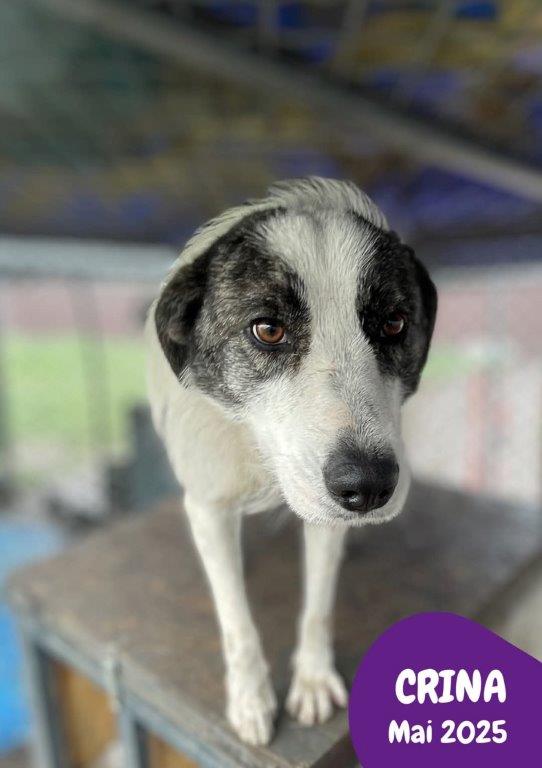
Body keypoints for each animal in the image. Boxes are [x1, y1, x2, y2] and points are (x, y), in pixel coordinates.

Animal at [146, 177, 437, 746]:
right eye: (267, 330)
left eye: (394, 323)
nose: (370, 486)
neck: (260, 457)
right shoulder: (209, 504)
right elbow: (235, 619)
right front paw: (251, 697)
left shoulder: (326, 513)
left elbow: (319, 603)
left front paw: (314, 679)